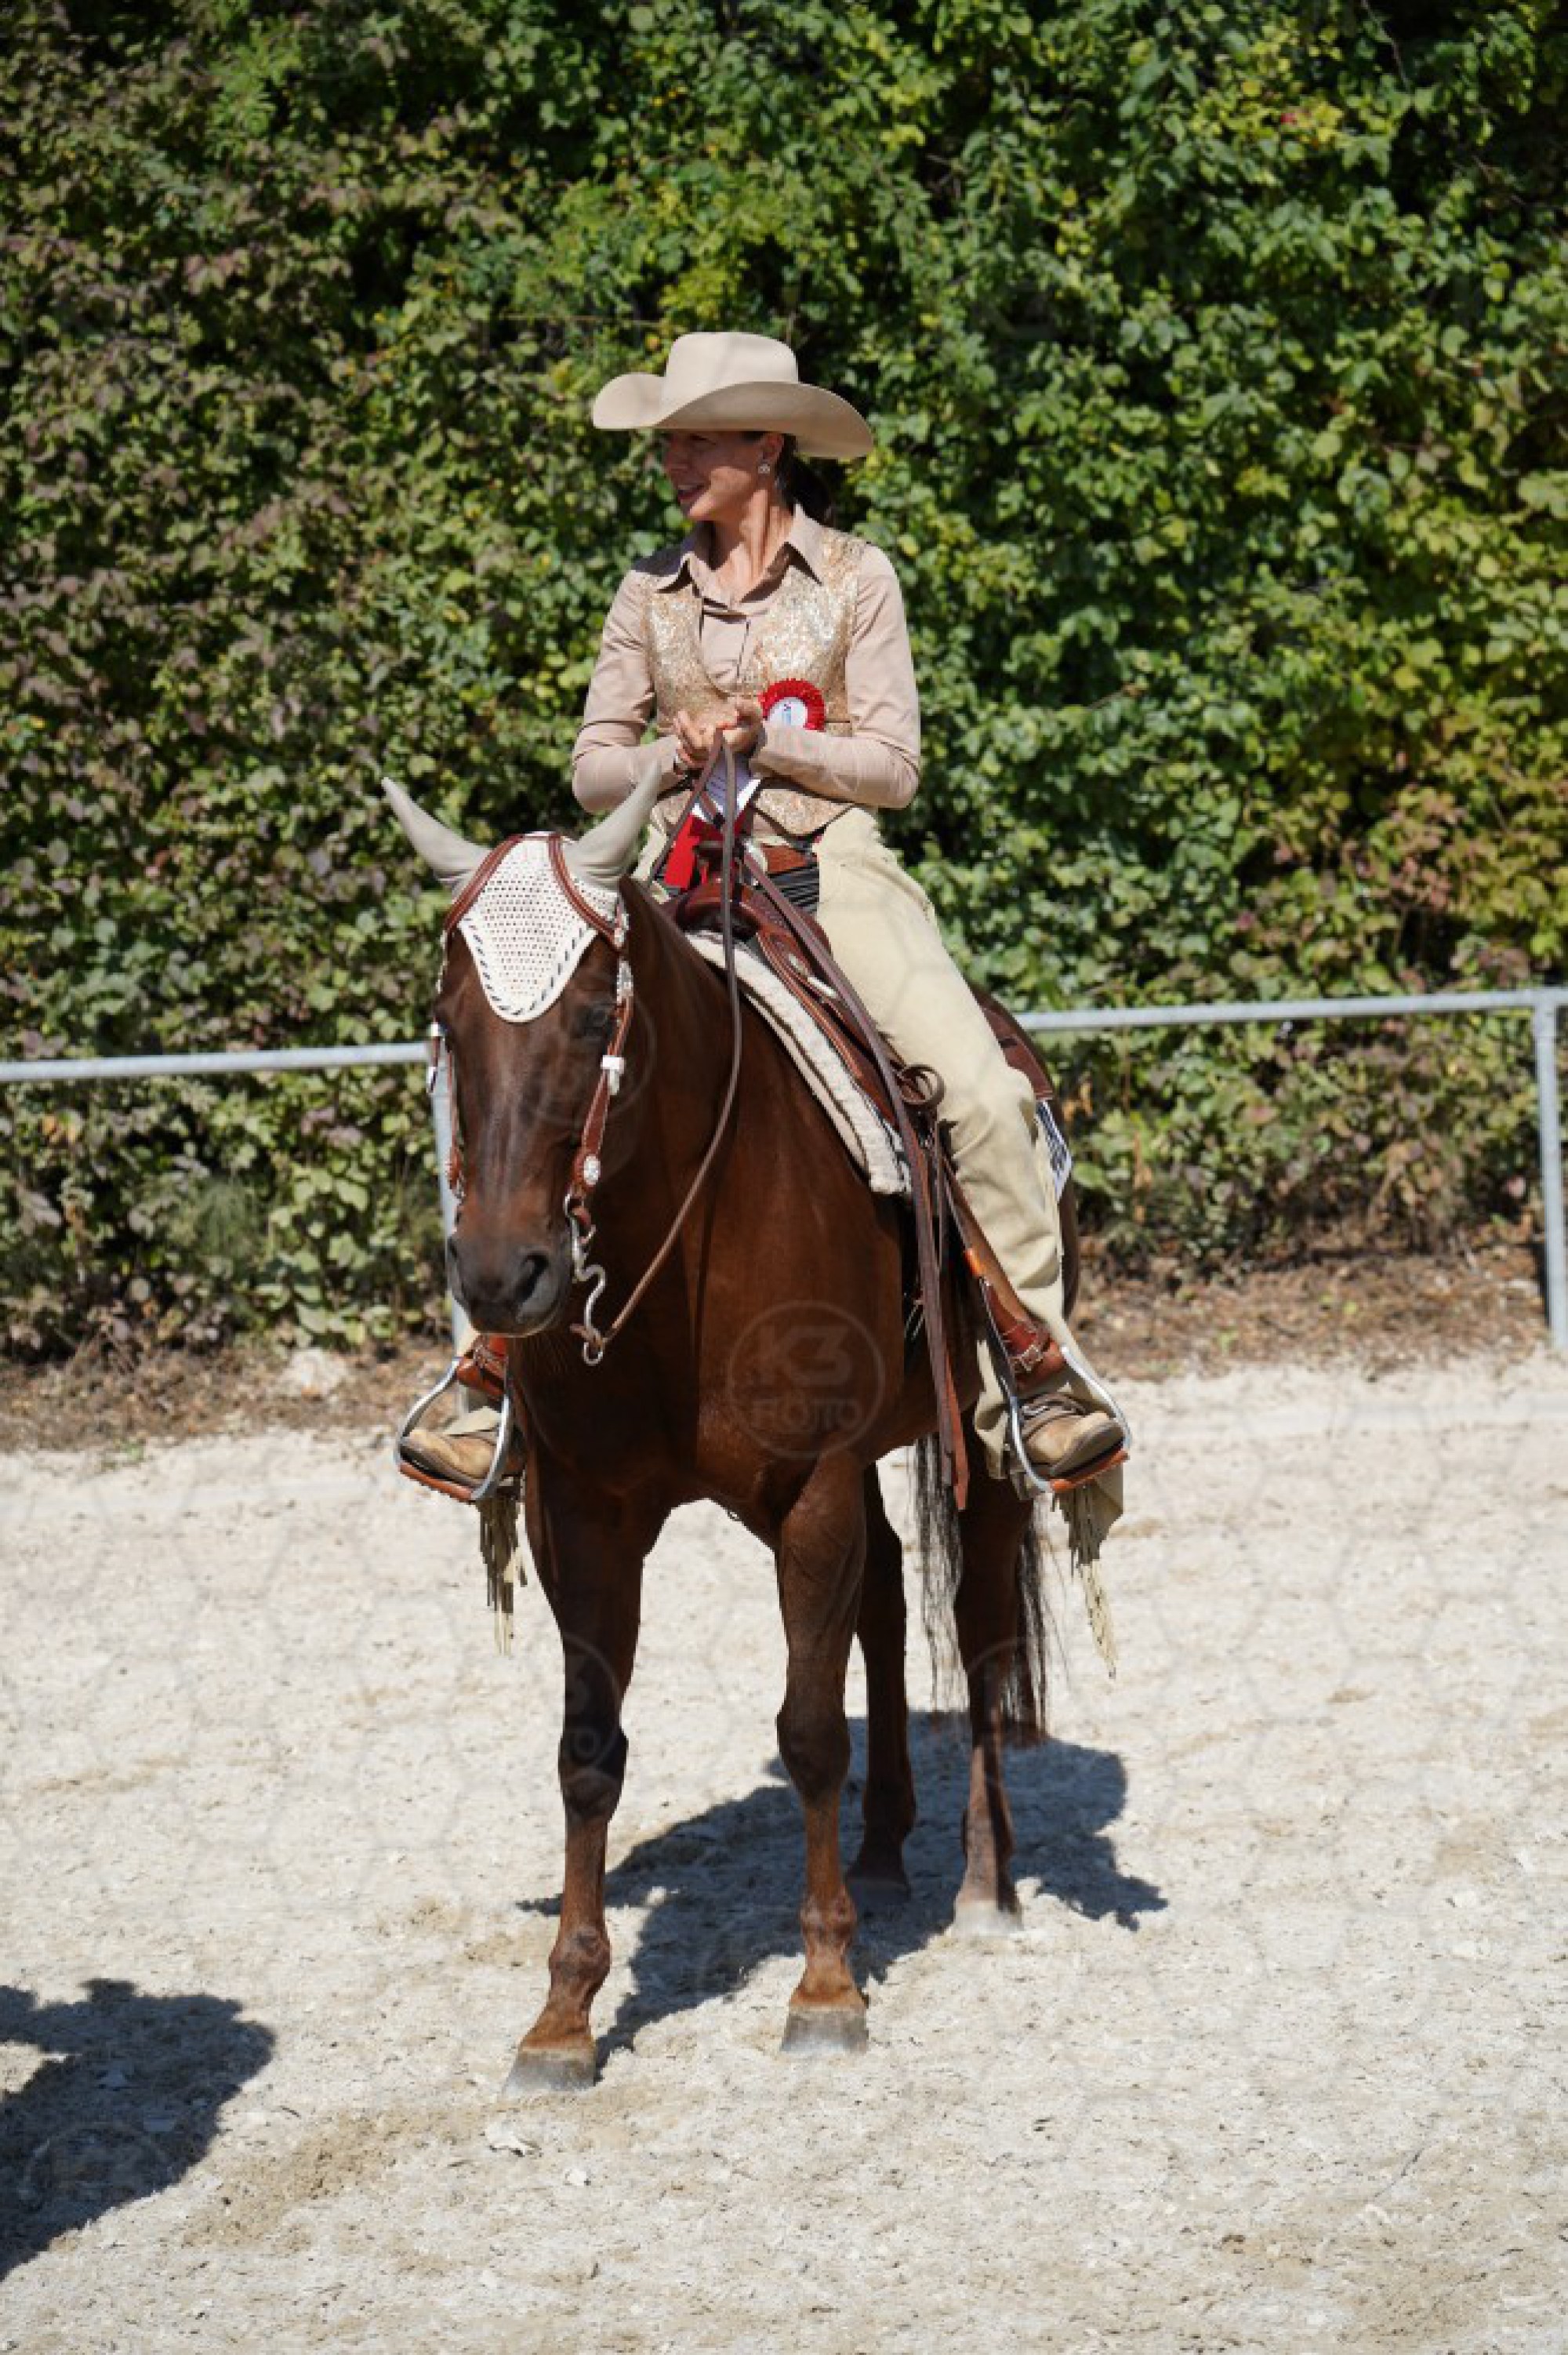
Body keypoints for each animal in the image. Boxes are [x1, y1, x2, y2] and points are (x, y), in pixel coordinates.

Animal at [387, 757, 1082, 2089]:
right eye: (449, 1021)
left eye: (593, 1017)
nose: (504, 1276)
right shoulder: (585, 1510)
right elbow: (587, 1744)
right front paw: (564, 2014)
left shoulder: (807, 1484)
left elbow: (807, 1727)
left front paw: (824, 1986)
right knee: (884, 1598)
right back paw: (882, 1847)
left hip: (978, 1433)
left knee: (976, 1624)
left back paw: (983, 1881)